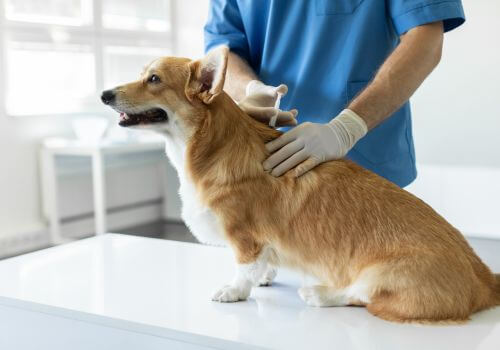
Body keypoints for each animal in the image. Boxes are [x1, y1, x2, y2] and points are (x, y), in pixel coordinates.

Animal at [102, 45, 500, 322]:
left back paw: (320, 294)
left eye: (154, 79)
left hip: (383, 274)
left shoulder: (243, 233)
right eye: (143, 74)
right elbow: (262, 263)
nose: (104, 94)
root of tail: (484, 279)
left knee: (362, 296)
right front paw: (265, 276)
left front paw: (235, 290)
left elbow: (244, 266)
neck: (211, 146)